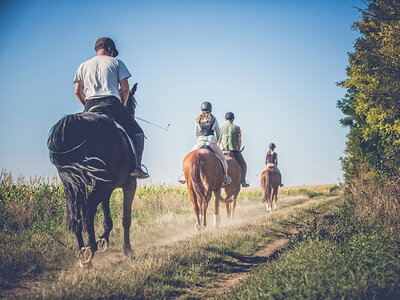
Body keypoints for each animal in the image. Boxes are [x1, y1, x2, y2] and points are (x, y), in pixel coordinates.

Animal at [47, 84, 139, 268]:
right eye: (132, 104)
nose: (132, 112)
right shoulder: (129, 184)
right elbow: (126, 218)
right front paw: (127, 250)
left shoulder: (107, 187)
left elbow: (107, 217)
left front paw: (103, 240)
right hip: (98, 183)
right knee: (88, 211)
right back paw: (90, 249)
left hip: (73, 184)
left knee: (77, 215)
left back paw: (84, 254)